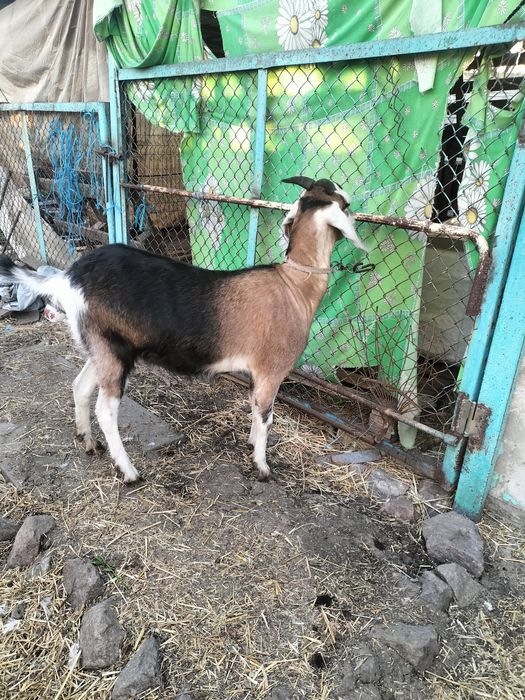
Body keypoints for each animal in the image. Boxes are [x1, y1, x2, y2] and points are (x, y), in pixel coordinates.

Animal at [0, 176, 366, 483]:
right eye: (345, 204)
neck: (293, 287)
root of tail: (66, 279)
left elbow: (254, 411)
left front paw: (251, 445)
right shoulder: (271, 370)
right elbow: (266, 417)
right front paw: (262, 466)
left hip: (103, 347)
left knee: (80, 386)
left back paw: (88, 441)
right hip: (113, 352)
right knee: (105, 410)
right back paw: (128, 471)